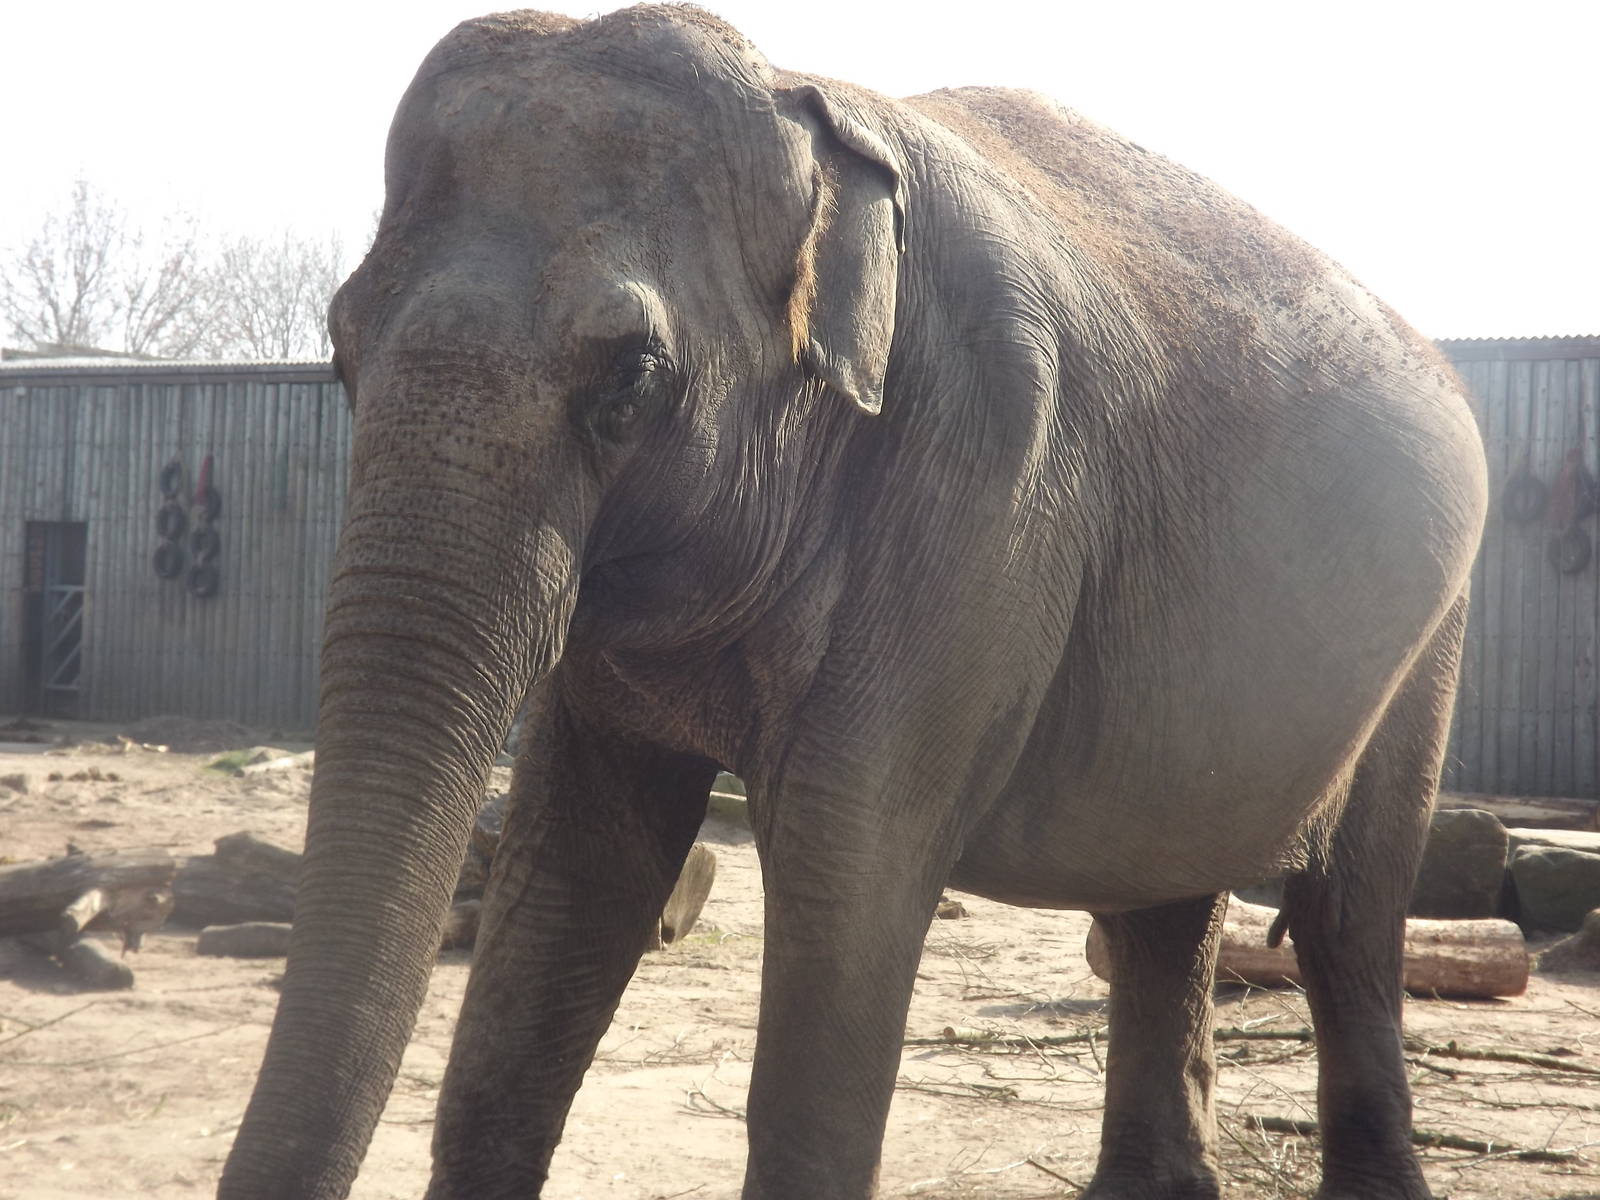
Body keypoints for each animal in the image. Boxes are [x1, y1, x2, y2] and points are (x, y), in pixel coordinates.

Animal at [220, 6, 1487, 1199]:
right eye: (340, 351)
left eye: (630, 379)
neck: (810, 104)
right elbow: (578, 875)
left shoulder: (985, 493)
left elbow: (852, 879)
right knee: (1163, 897)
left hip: (1431, 641)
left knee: (1348, 917)